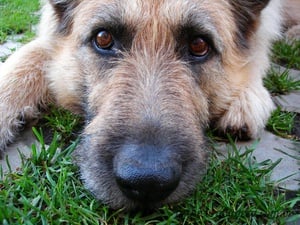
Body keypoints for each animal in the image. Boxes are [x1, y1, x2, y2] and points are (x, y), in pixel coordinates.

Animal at [0, 0, 282, 210]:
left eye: (199, 44)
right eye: (103, 38)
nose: (148, 182)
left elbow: (259, 54)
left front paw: (248, 95)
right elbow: (32, 53)